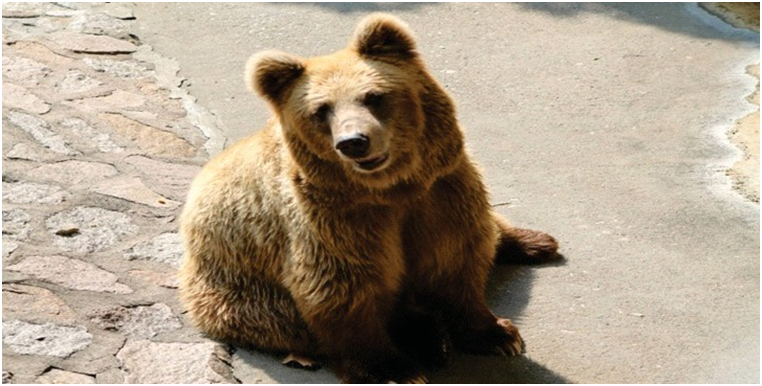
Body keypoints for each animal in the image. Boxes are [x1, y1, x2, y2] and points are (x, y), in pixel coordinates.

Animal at [178, 12, 560, 386]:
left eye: (373, 95)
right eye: (321, 110)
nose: (354, 142)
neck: (392, 189)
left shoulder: (440, 193)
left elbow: (456, 256)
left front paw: (499, 335)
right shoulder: (336, 221)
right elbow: (345, 288)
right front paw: (394, 371)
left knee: (491, 228)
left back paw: (536, 243)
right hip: (243, 297)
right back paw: (427, 339)